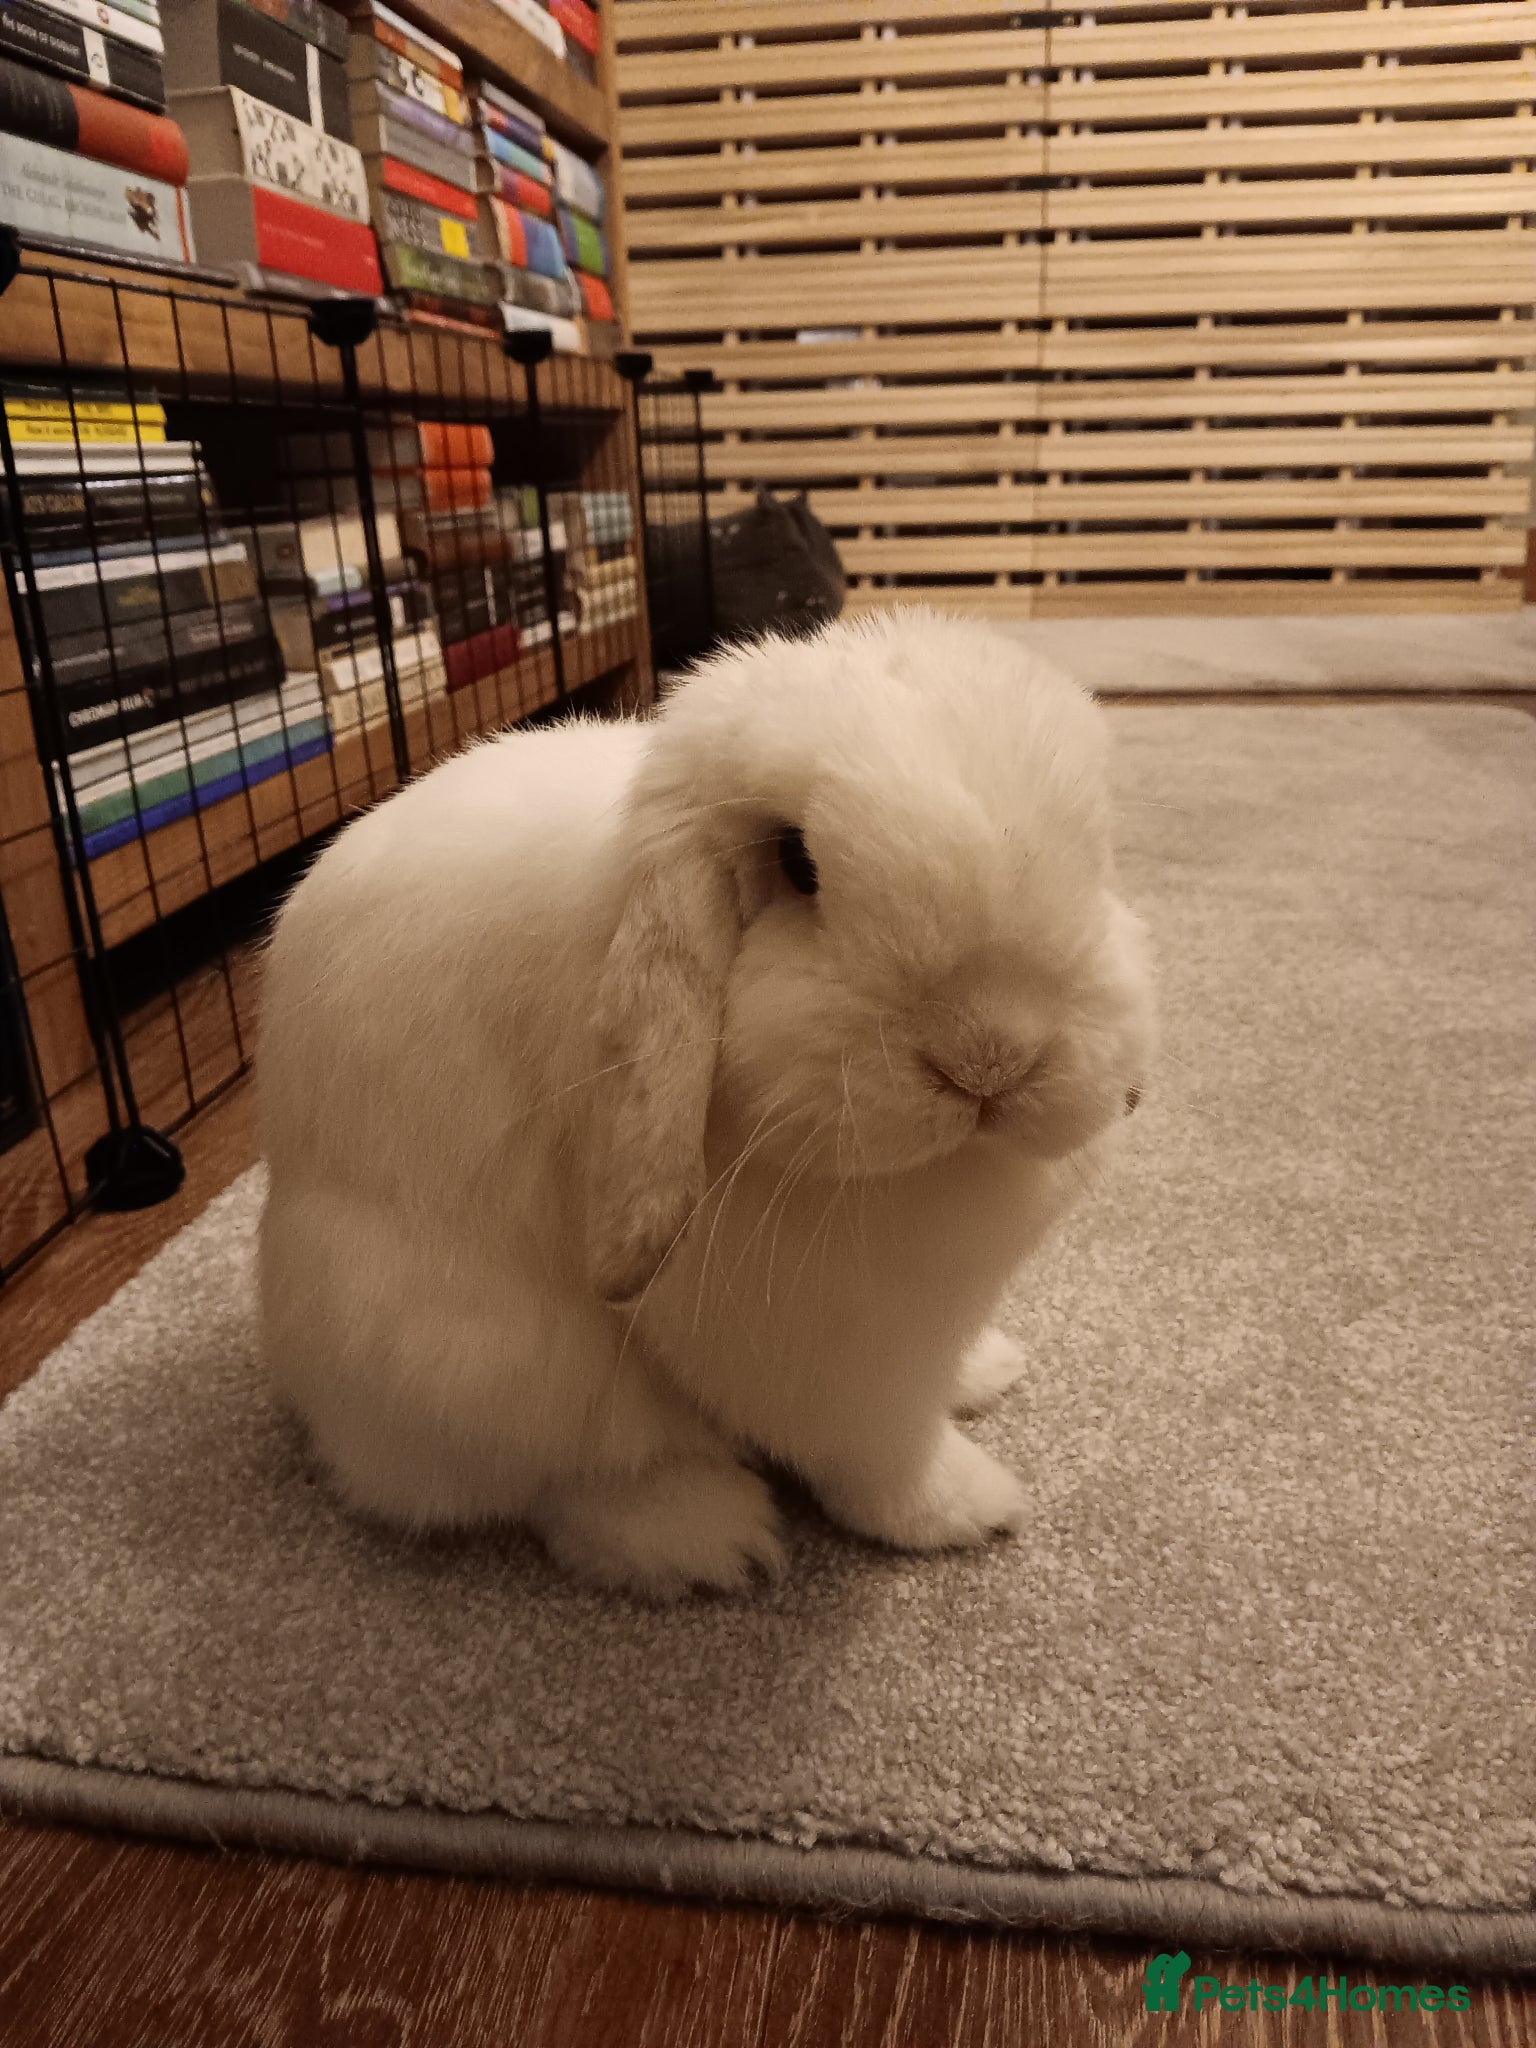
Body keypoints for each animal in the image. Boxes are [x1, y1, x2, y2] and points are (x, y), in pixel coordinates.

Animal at [256, 608, 1155, 1597]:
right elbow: (881, 1453)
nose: (991, 1058)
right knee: (550, 1484)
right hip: (473, 1361)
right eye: (797, 864)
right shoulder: (827, 1350)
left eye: (1097, 859)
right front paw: (968, 1510)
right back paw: (702, 1536)